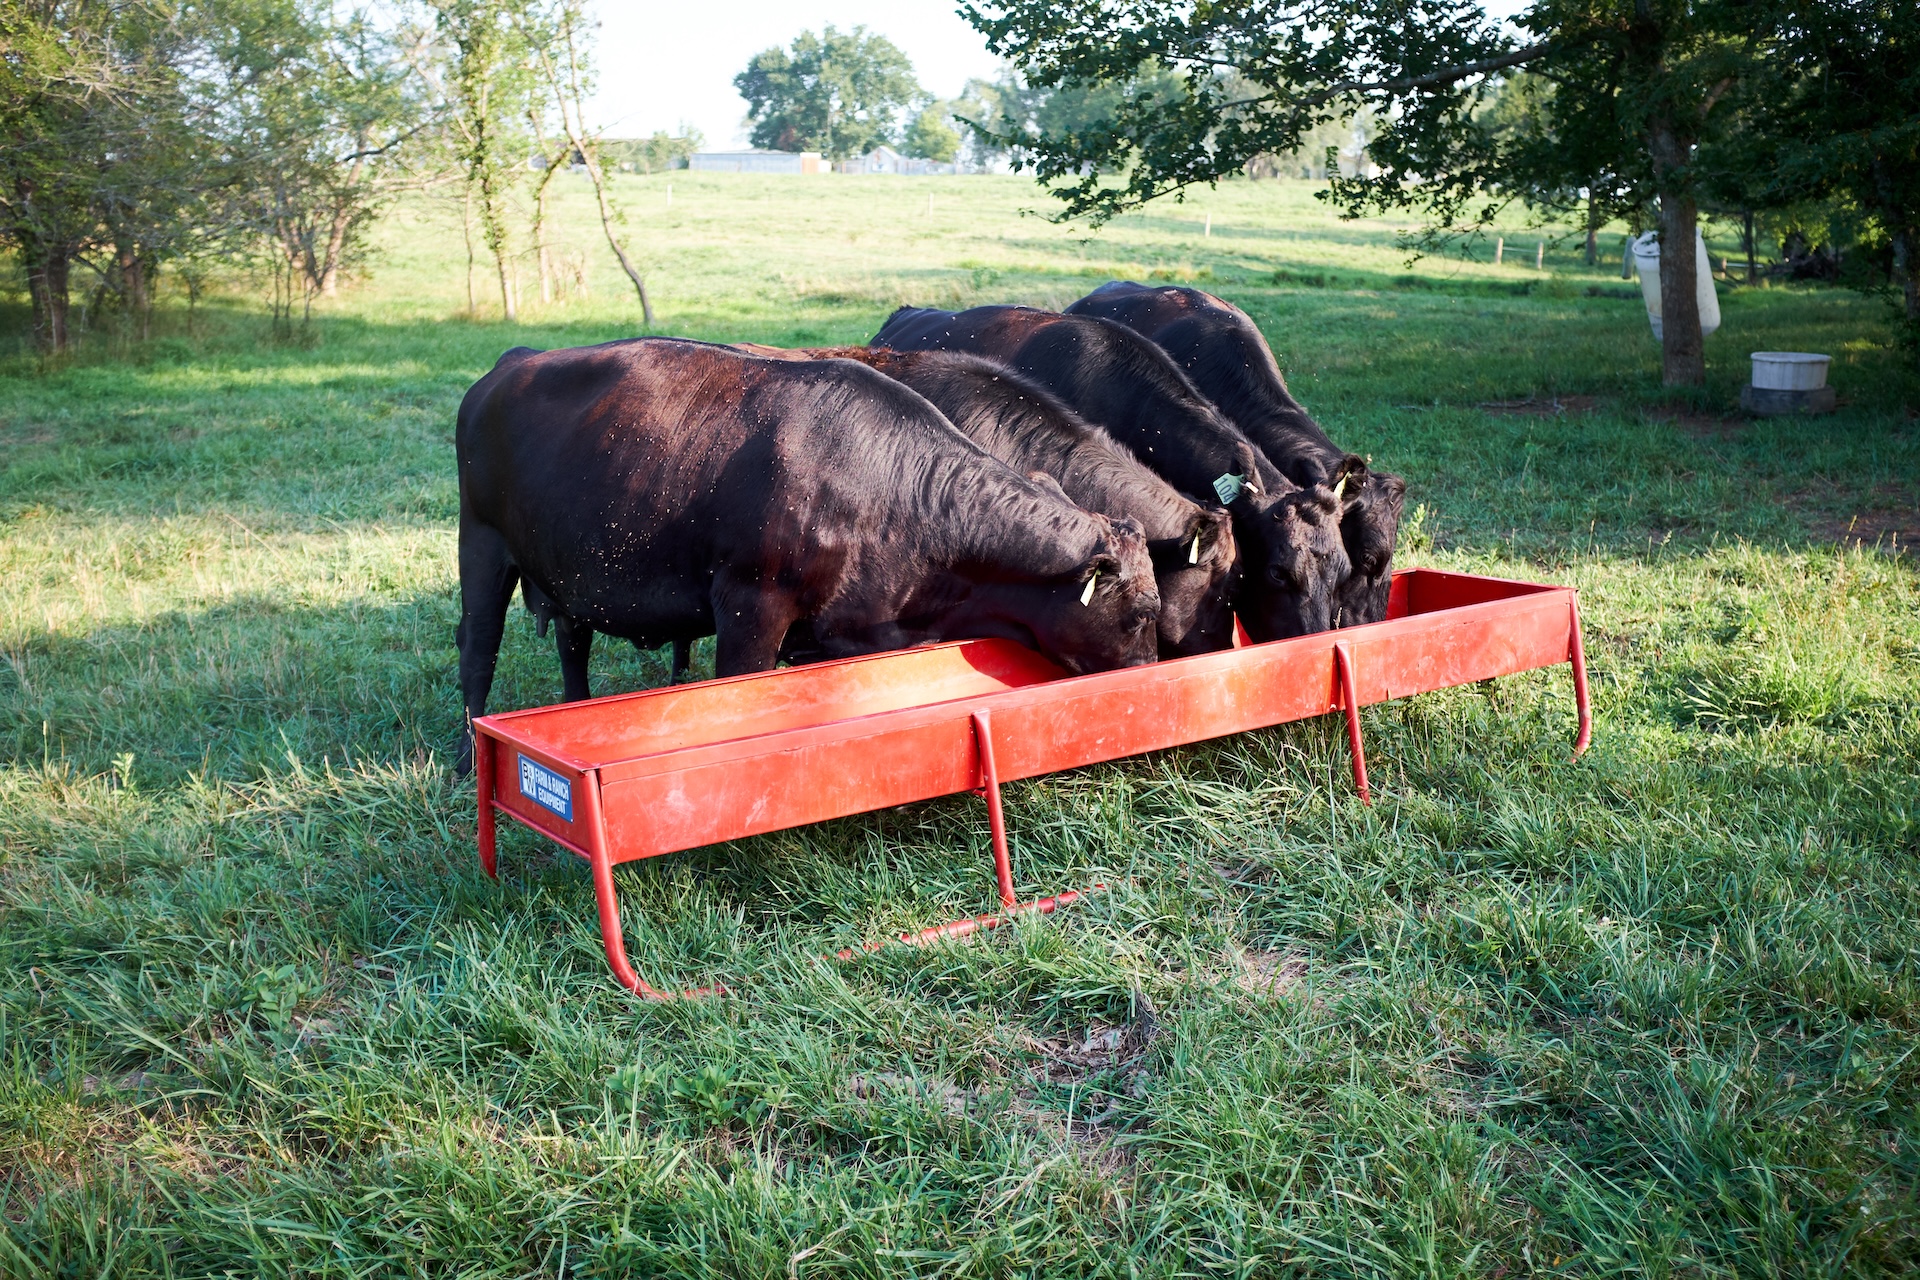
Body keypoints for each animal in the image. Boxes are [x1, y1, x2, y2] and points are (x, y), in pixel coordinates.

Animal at [453, 338, 1160, 772]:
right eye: (1144, 612)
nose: (1154, 673)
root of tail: (512, 362)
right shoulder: (751, 605)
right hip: (481, 547)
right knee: (477, 652)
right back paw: (466, 760)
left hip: (567, 572)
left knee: (571, 645)